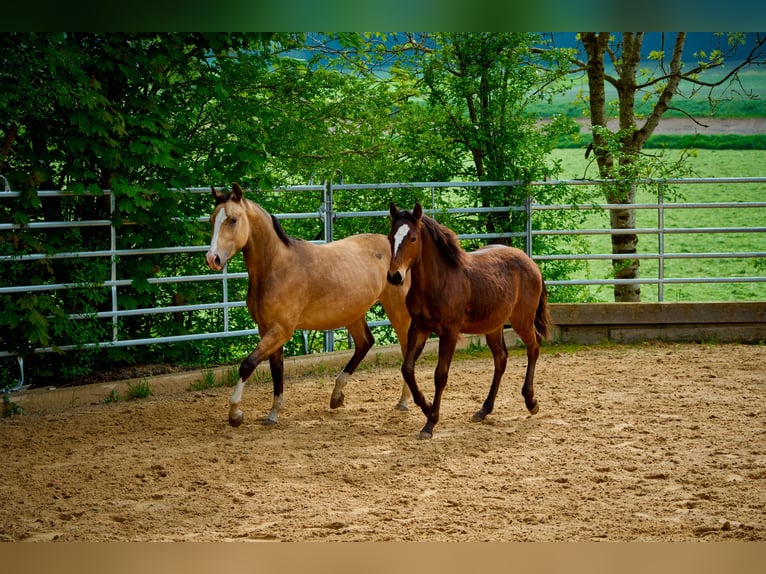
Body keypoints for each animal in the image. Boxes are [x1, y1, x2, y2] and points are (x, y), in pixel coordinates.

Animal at [206, 183, 411, 427]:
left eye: (233, 219)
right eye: (212, 219)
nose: (212, 258)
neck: (276, 267)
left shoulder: (281, 329)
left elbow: (248, 364)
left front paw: (235, 413)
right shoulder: (267, 329)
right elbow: (276, 369)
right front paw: (273, 413)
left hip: (398, 312)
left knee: (405, 348)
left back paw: (403, 401)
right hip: (353, 313)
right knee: (365, 343)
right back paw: (337, 396)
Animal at [386, 202, 551, 439]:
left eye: (413, 238)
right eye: (391, 237)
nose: (395, 276)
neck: (438, 281)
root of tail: (531, 263)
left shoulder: (450, 332)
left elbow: (440, 375)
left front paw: (430, 424)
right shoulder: (419, 327)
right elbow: (407, 369)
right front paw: (426, 407)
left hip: (522, 320)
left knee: (534, 345)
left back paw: (531, 402)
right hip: (493, 326)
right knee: (501, 359)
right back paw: (484, 410)